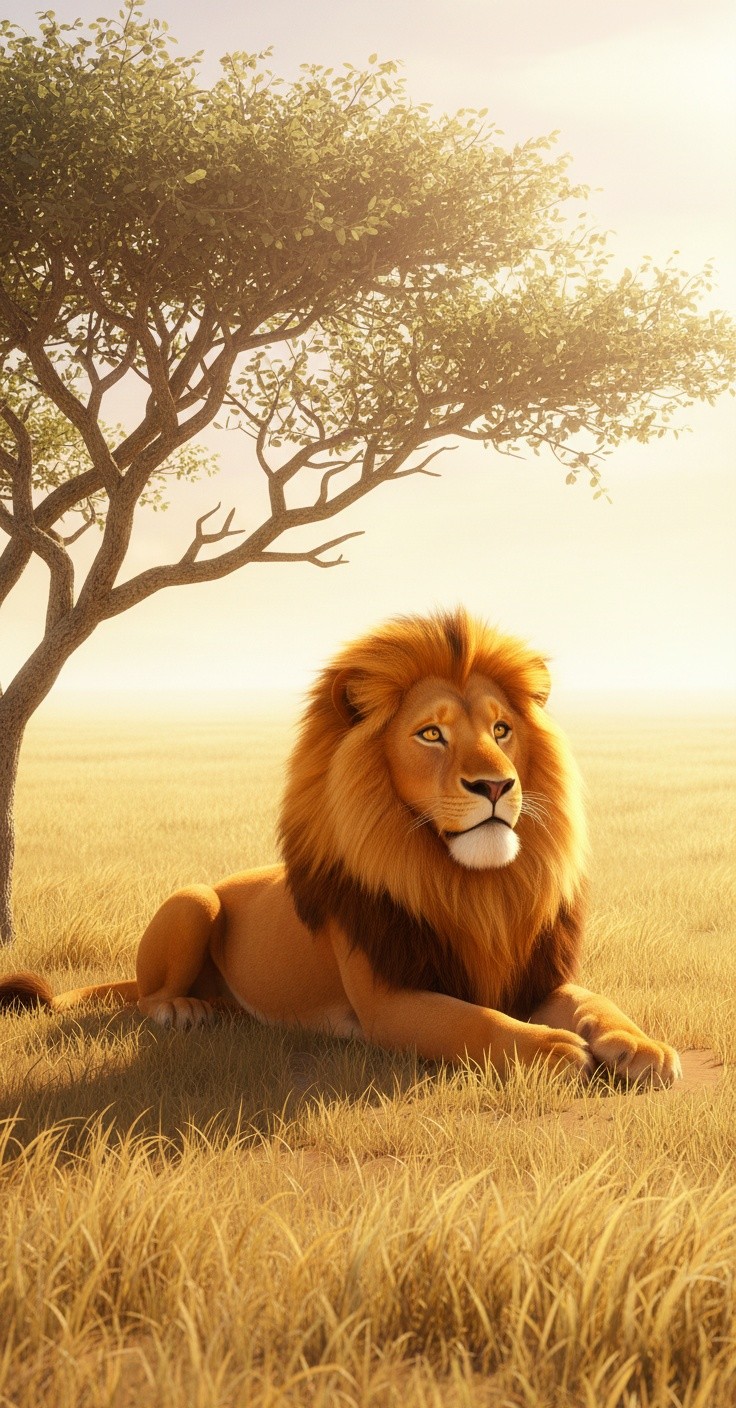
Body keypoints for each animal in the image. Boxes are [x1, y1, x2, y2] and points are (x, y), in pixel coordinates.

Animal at [0, 609, 681, 1085]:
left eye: (502, 729)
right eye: (431, 734)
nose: (496, 785)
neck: (472, 886)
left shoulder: (532, 976)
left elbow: (595, 1001)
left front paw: (640, 1046)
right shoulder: (390, 1002)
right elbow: (473, 1020)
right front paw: (550, 1050)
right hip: (195, 899)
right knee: (147, 997)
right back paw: (184, 1010)